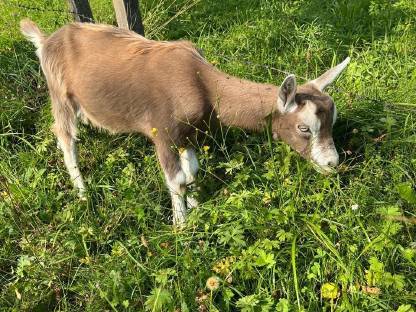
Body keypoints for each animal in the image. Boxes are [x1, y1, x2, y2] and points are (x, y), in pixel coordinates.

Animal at [20, 19, 352, 227]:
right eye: (304, 128)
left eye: (332, 120)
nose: (332, 163)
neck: (201, 83)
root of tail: (46, 40)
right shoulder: (164, 133)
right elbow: (176, 179)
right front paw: (180, 227)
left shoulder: (190, 134)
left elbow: (191, 172)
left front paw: (195, 206)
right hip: (59, 94)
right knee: (65, 139)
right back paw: (82, 191)